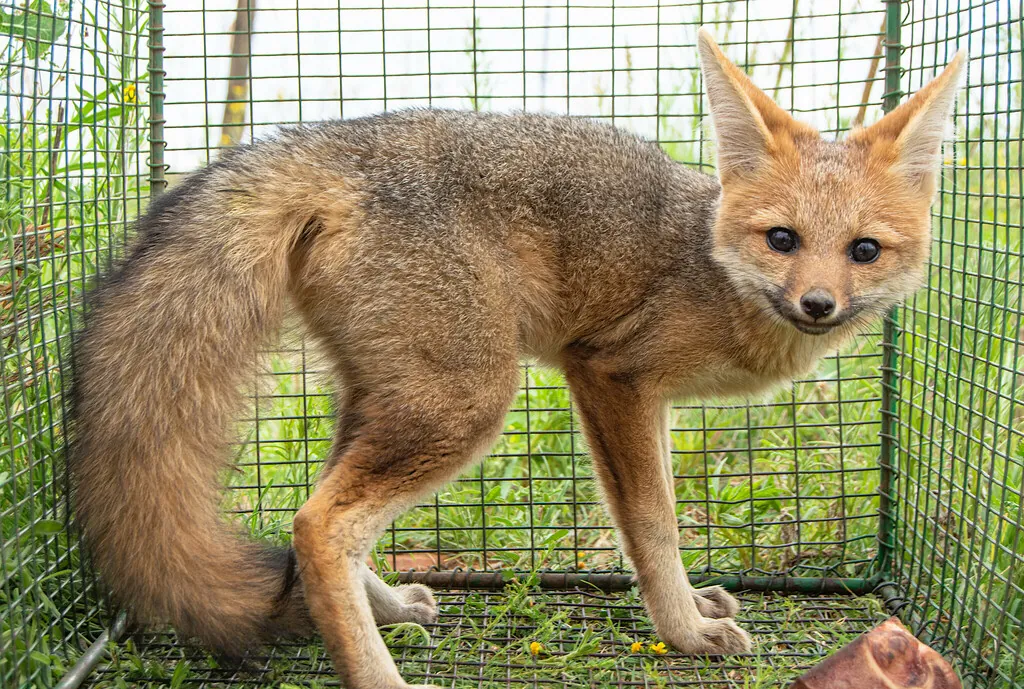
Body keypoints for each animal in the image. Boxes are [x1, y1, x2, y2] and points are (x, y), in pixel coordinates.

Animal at [69, 30, 965, 689]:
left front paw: (692, 607)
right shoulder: (609, 374)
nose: (818, 304)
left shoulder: (643, 399)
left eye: (864, 250)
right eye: (782, 238)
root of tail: (335, 145)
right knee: (320, 524)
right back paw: (378, 674)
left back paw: (389, 608)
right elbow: (652, 526)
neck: (710, 264)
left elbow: (660, 520)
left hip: (392, 397)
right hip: (466, 401)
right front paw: (683, 630)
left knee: (315, 510)